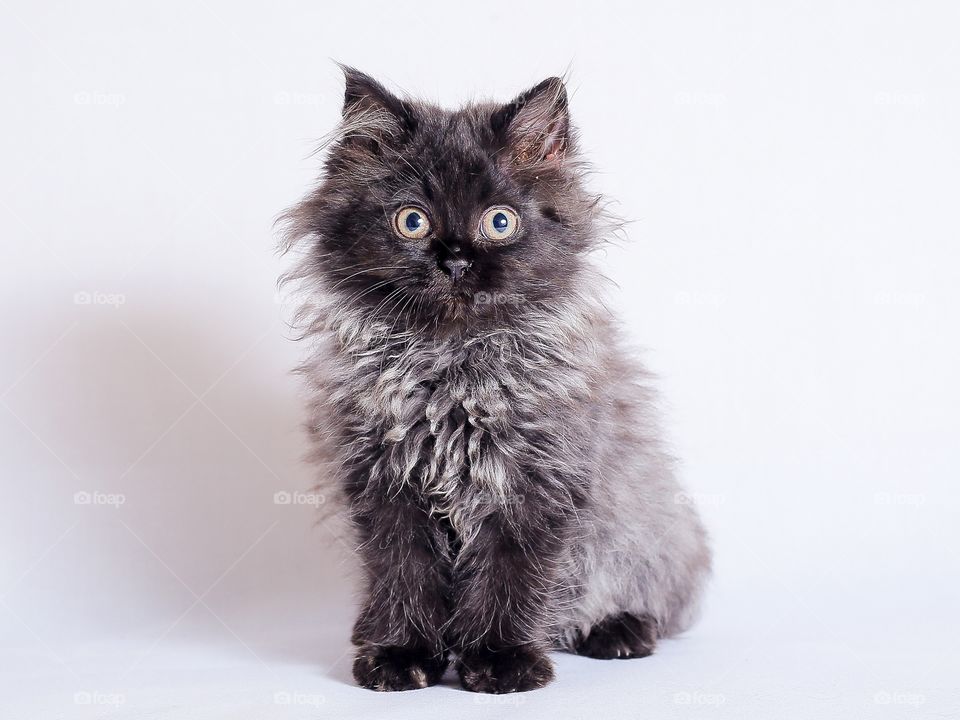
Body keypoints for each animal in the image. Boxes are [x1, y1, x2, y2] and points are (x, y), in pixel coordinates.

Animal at [282, 67, 708, 692]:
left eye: (499, 222)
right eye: (412, 221)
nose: (455, 259)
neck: (449, 369)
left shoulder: (536, 481)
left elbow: (513, 578)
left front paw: (502, 661)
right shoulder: (384, 482)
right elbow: (404, 575)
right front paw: (402, 655)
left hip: (646, 538)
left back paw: (619, 631)